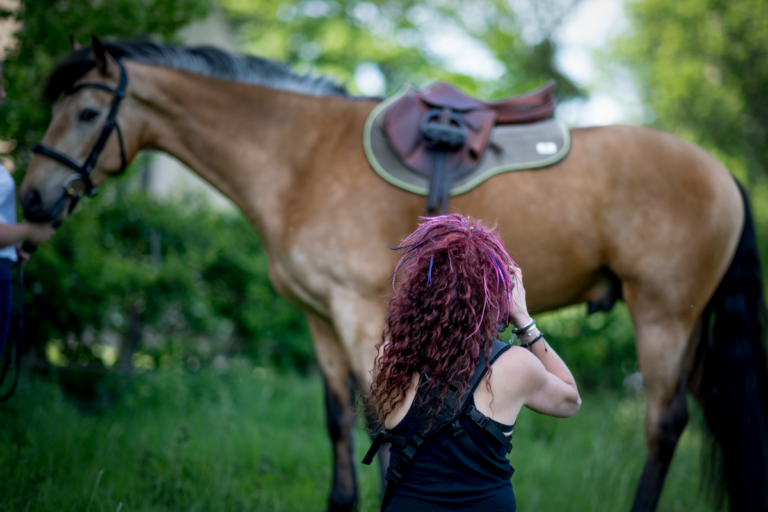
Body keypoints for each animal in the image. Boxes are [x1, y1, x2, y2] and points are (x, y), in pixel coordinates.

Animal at [18, 34, 768, 510]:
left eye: (88, 111)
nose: (31, 200)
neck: (300, 157)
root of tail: (722, 172)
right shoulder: (320, 318)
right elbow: (337, 419)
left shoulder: (357, 311)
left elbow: (382, 420)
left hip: (661, 315)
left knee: (663, 423)